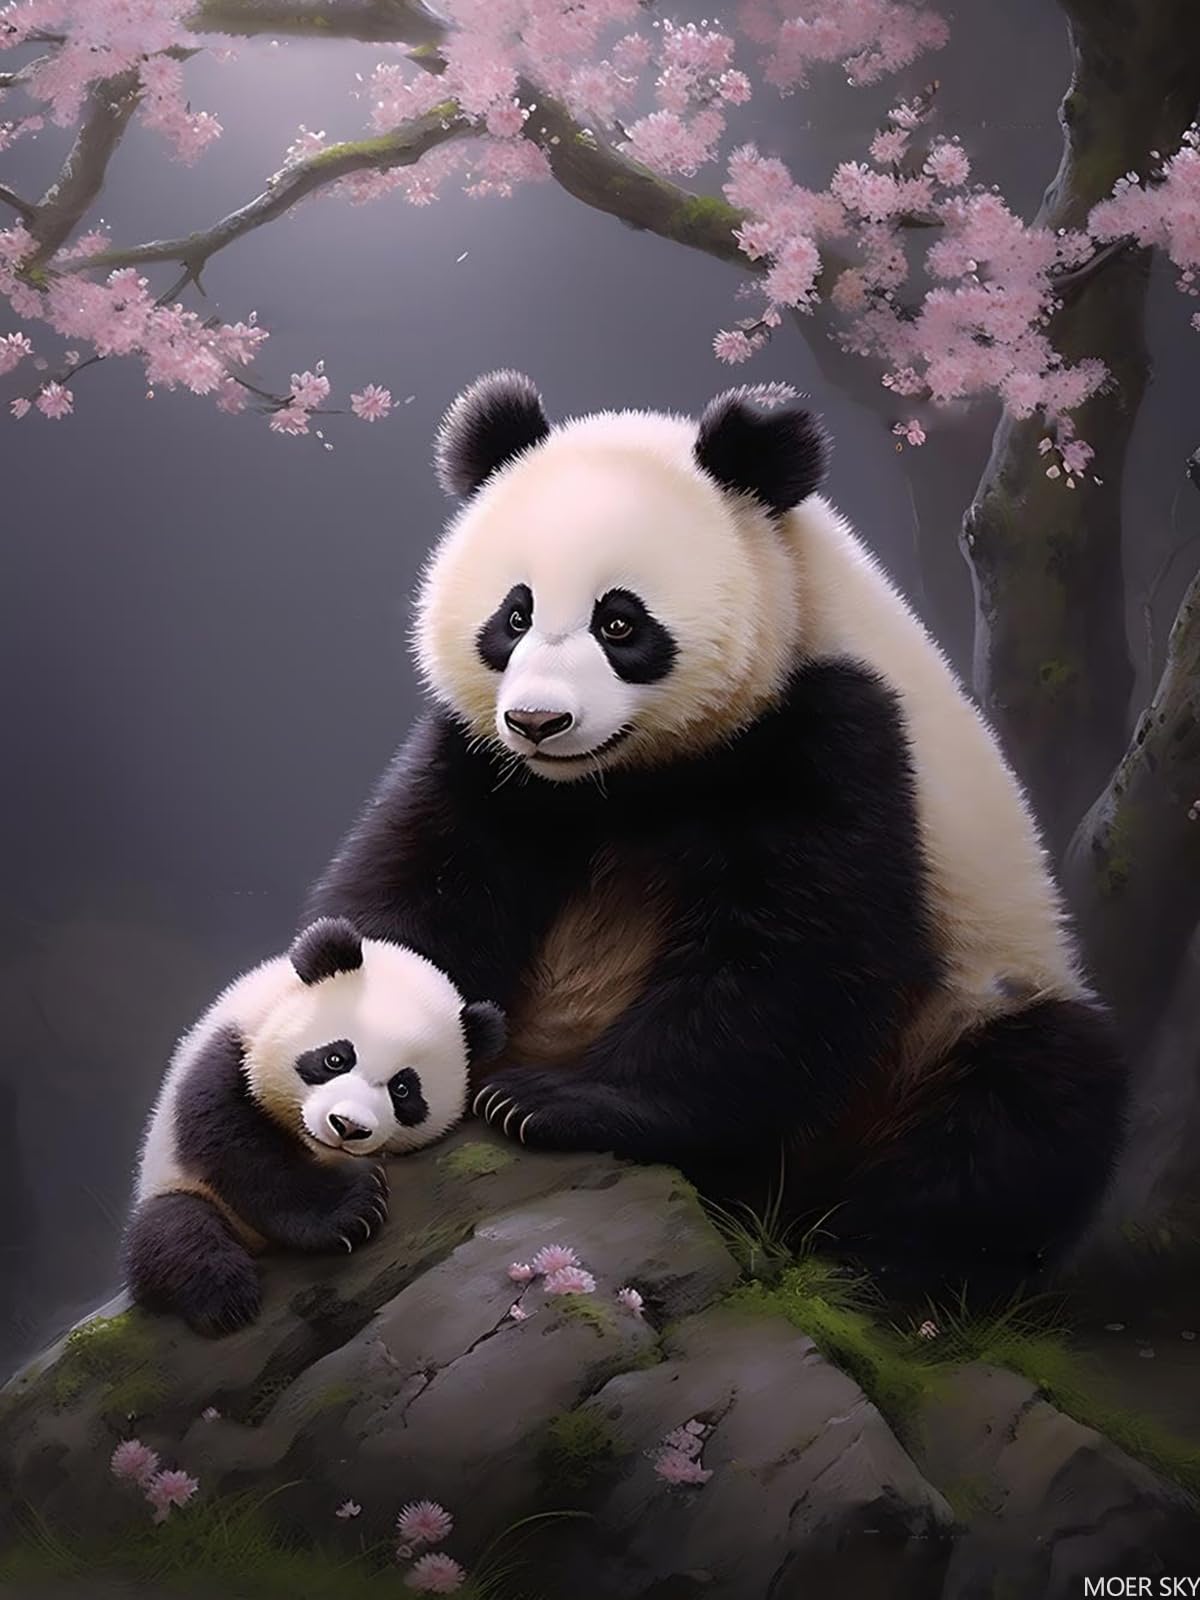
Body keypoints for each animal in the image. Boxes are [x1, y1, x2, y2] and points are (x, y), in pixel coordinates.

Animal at [125, 916, 506, 1334]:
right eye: (336, 1058)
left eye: (403, 1089)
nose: (348, 1126)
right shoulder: (228, 1051)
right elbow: (237, 1150)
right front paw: (352, 1208)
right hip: (172, 1184)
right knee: (172, 1230)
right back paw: (224, 1296)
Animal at [304, 371, 1129, 1297]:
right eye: (513, 617)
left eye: (620, 623)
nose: (539, 721)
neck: (624, 777)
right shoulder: (485, 762)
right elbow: (424, 881)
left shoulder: (840, 731)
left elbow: (794, 953)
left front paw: (552, 1102)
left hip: (961, 1009)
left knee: (1026, 1108)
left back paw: (871, 1266)